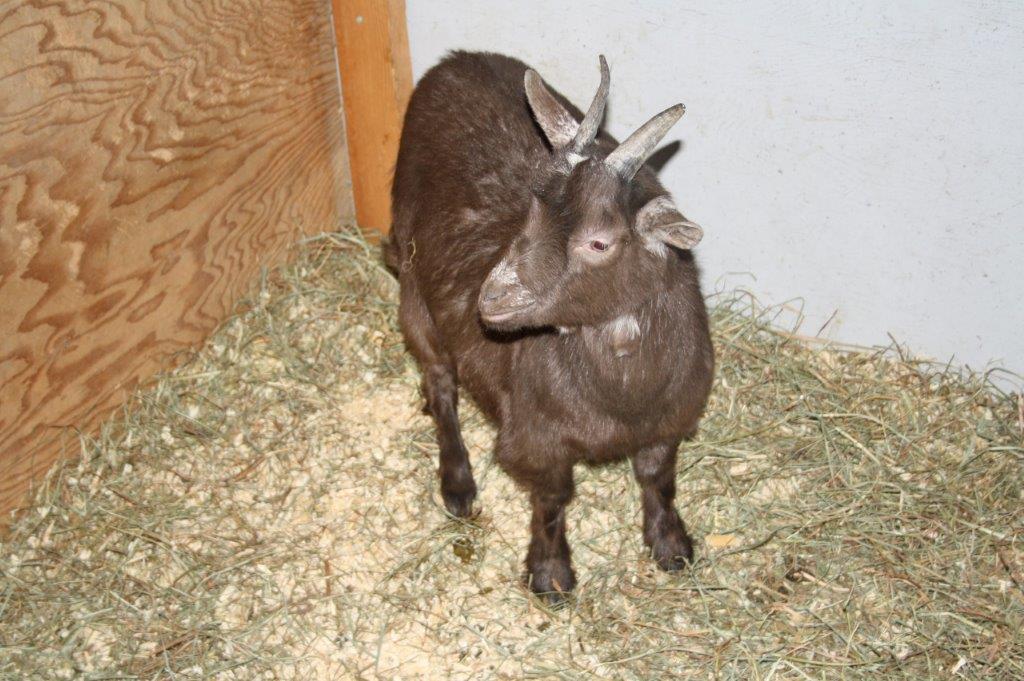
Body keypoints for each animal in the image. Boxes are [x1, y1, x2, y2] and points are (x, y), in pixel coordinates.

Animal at [385, 51, 714, 601]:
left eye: (599, 242)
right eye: (530, 211)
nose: (493, 297)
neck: (624, 400)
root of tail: (451, 61)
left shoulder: (671, 418)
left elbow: (657, 477)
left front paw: (671, 546)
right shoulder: (537, 439)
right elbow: (553, 499)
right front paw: (550, 574)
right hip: (414, 292)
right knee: (440, 379)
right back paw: (458, 484)